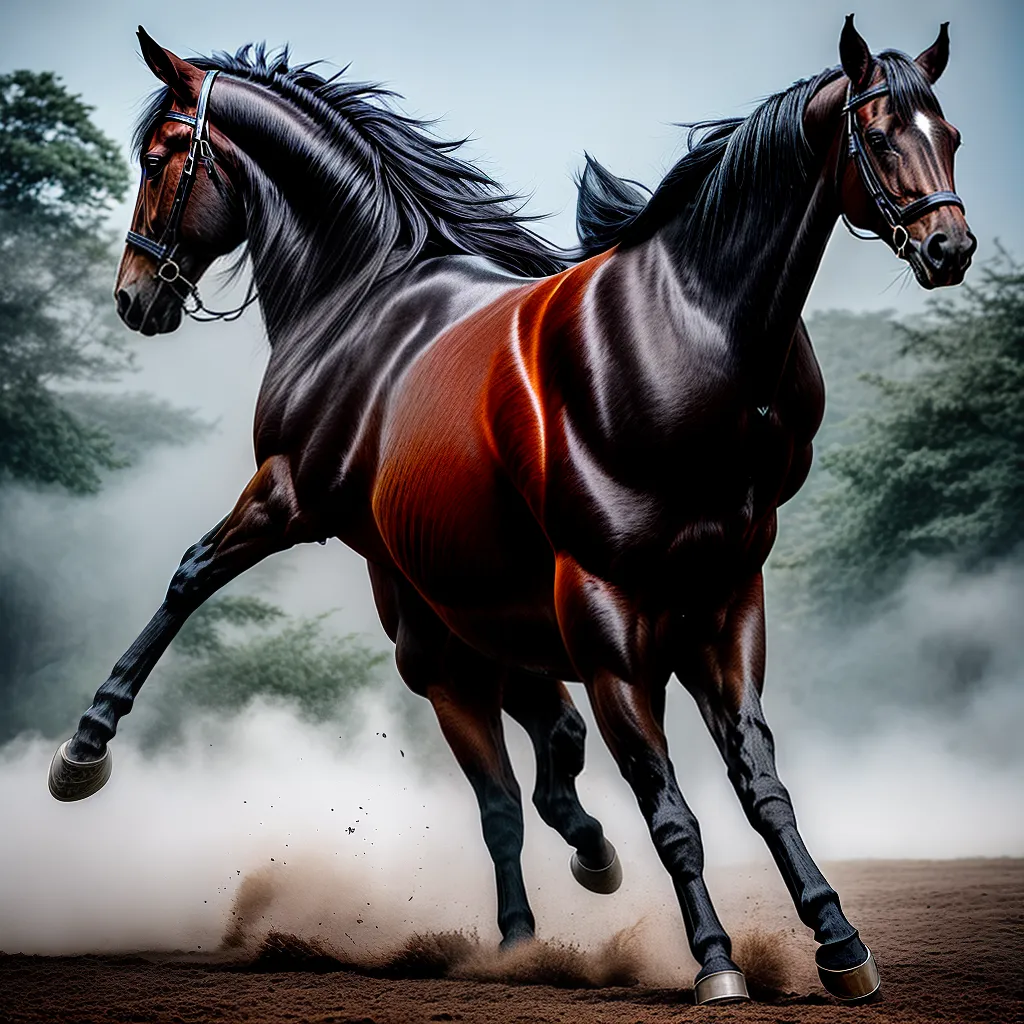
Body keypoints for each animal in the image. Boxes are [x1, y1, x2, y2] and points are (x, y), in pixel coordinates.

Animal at [48, 16, 973, 1005]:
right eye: (882, 135)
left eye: (157, 157)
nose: (134, 296)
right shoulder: (594, 615)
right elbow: (668, 806)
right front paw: (718, 959)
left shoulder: (716, 608)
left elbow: (755, 786)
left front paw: (837, 941)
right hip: (457, 643)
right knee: (511, 789)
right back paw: (531, 929)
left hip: (480, 631)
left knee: (529, 767)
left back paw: (563, 891)